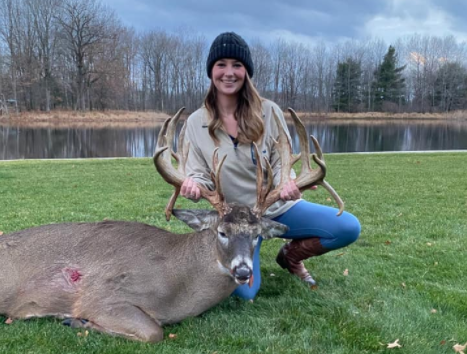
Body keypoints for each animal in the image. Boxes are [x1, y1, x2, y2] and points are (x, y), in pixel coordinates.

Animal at [0, 106, 344, 342]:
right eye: (221, 232)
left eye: (258, 235)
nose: (244, 271)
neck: (176, 287)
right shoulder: (101, 297)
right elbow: (154, 332)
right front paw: (76, 321)